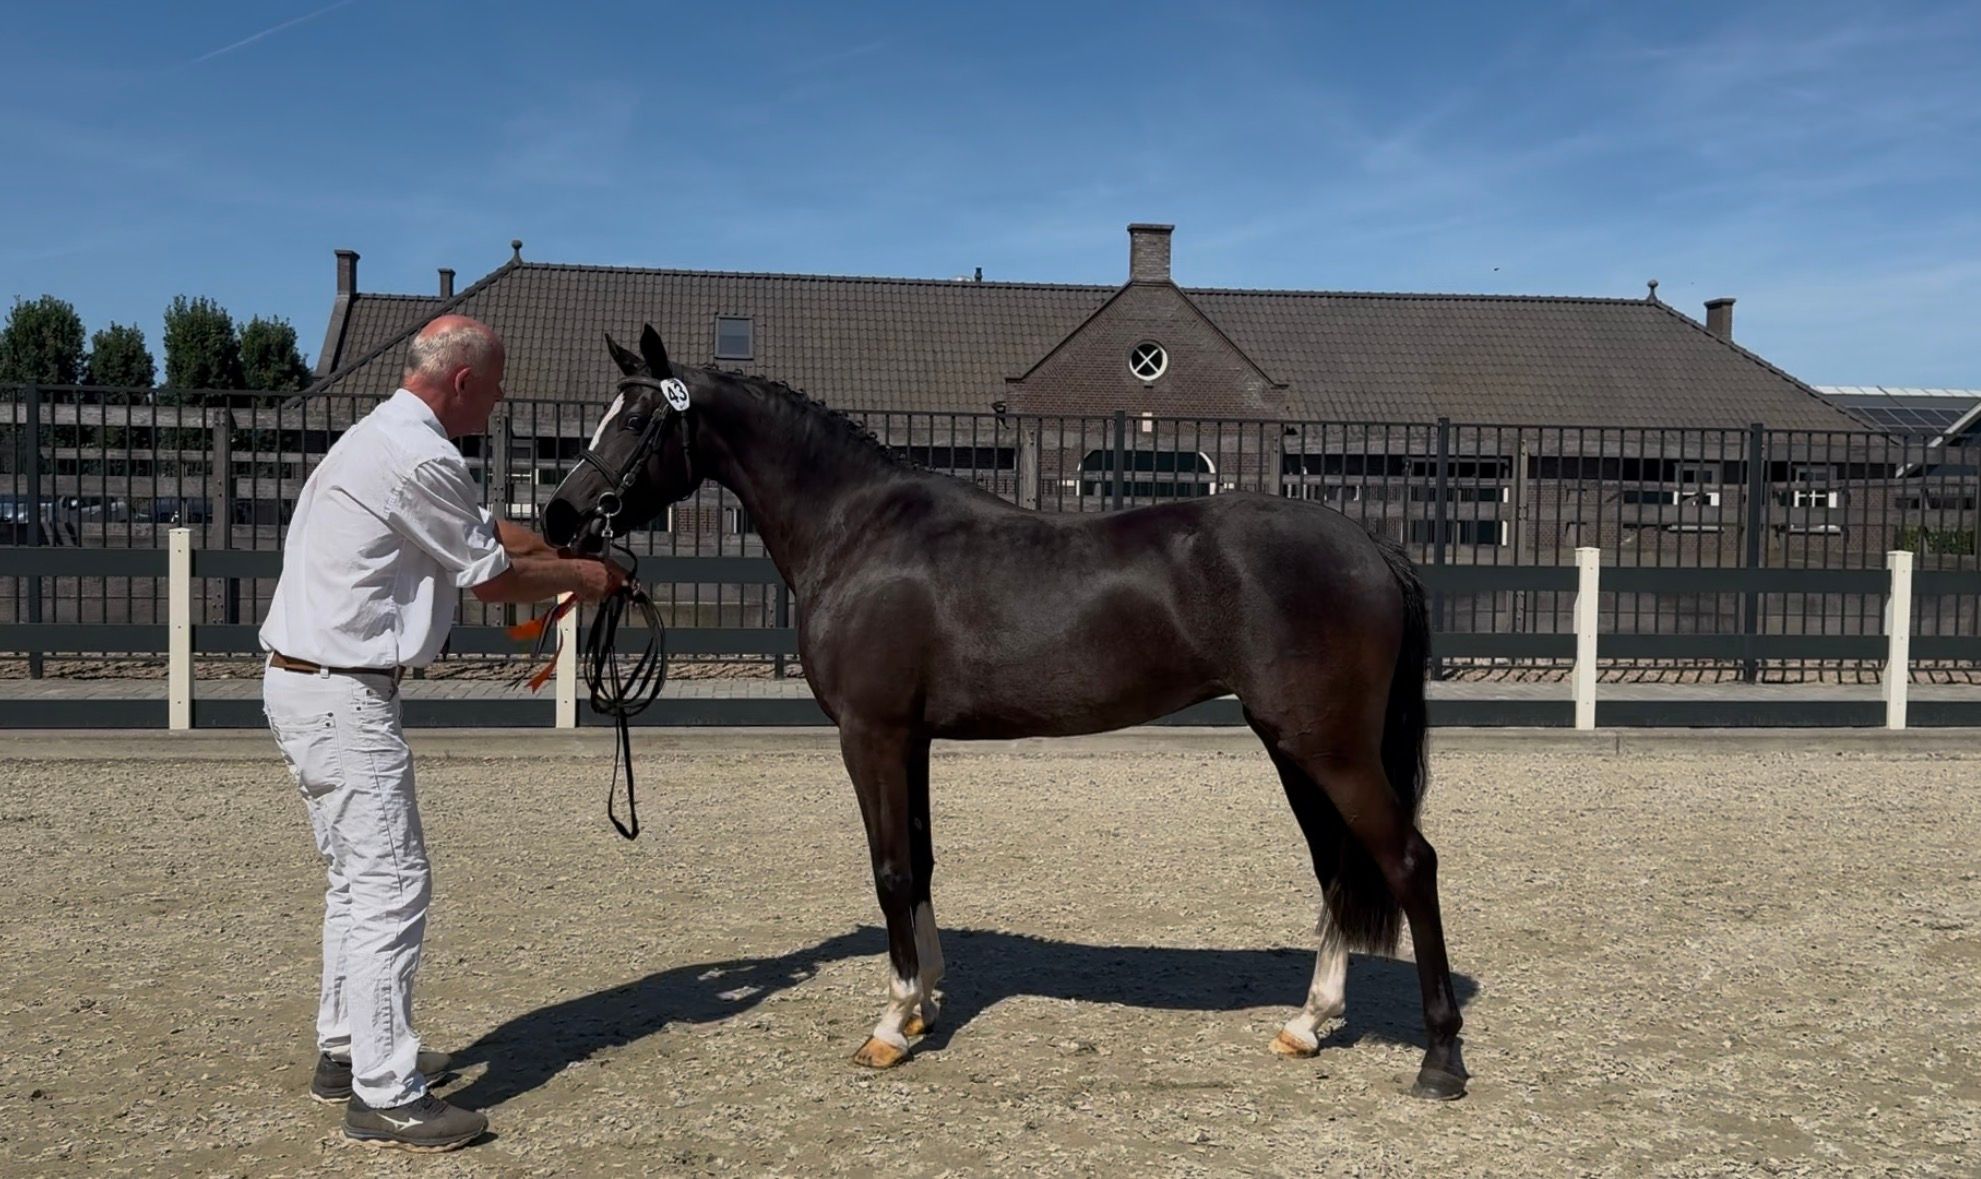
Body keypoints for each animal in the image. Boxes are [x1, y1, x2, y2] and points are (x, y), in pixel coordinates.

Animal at [540, 325, 1467, 1099]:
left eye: (634, 422)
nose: (559, 516)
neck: (857, 530)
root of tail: (1367, 543)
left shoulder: (869, 735)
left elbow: (890, 870)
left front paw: (889, 1025)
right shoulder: (908, 739)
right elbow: (919, 861)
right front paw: (923, 1003)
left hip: (1328, 746)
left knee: (1406, 861)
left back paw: (1439, 1059)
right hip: (1291, 742)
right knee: (1339, 867)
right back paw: (1307, 1023)